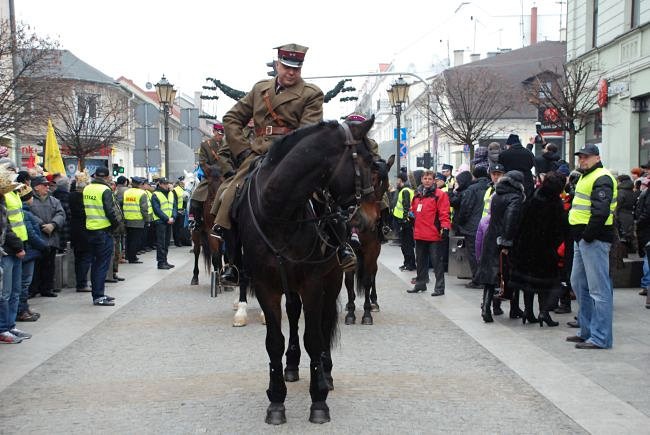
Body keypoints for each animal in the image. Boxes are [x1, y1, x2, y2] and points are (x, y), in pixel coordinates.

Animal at [234, 118, 374, 426]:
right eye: (369, 160)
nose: (368, 218)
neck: (278, 212)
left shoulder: (312, 283)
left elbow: (314, 337)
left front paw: (318, 398)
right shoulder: (265, 286)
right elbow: (274, 342)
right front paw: (276, 400)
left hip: (331, 280)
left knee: (324, 322)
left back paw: (326, 372)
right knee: (294, 314)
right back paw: (292, 365)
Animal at [342, 155, 392, 326]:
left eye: (386, 184)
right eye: (372, 178)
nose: (371, 217)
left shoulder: (372, 249)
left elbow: (367, 280)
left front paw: (367, 313)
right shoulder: (348, 249)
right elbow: (349, 281)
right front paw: (350, 312)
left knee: (373, 273)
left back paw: (374, 302)